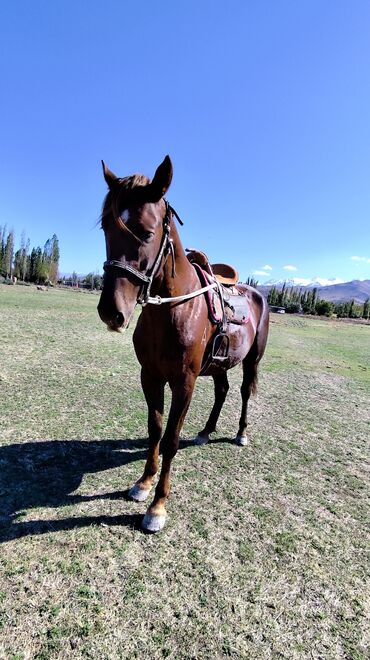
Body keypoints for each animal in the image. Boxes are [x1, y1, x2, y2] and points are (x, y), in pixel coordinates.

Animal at [97, 157, 268, 532]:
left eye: (146, 232)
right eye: (105, 228)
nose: (111, 312)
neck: (172, 309)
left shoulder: (184, 382)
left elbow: (172, 440)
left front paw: (158, 507)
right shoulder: (150, 376)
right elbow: (155, 430)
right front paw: (143, 483)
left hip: (252, 360)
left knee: (244, 391)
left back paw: (240, 433)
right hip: (219, 363)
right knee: (222, 390)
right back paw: (206, 431)